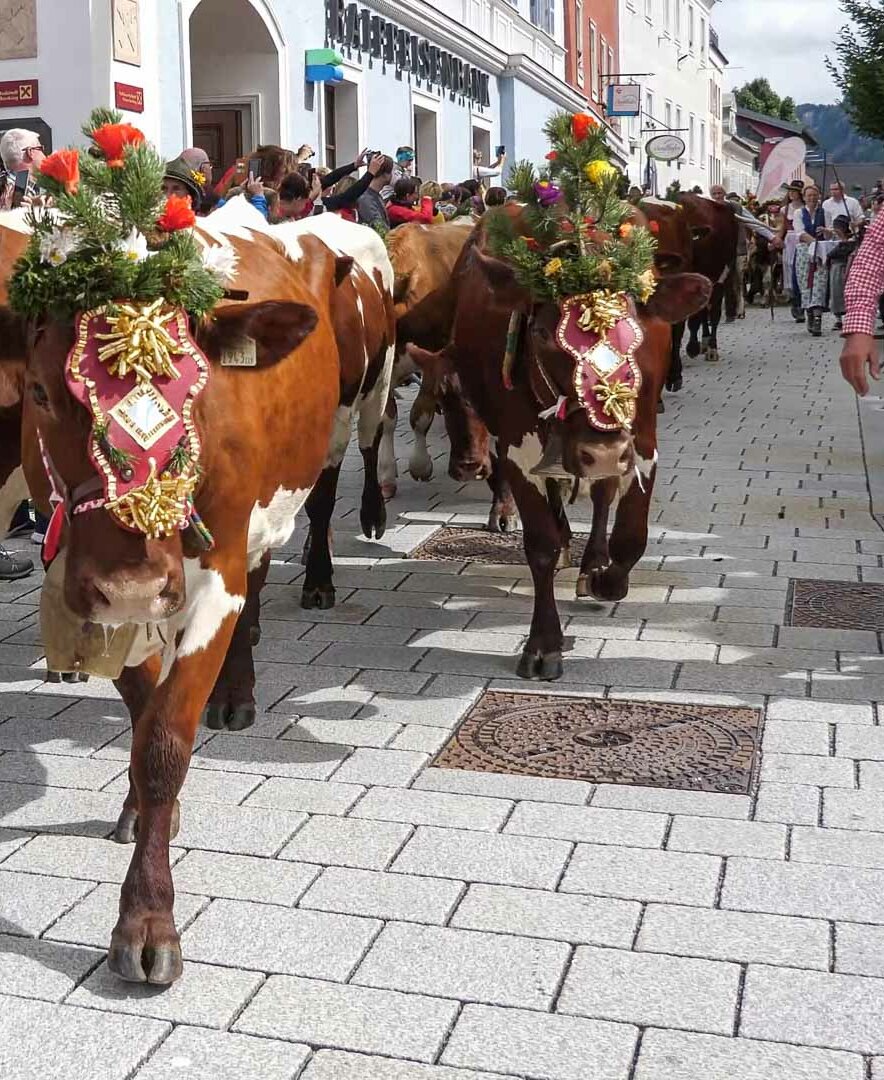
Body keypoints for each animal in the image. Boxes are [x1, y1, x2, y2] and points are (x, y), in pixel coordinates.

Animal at [0, 206, 349, 984]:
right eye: (38, 393)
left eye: (196, 390)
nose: (131, 582)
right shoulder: (93, 591)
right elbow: (142, 706)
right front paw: (140, 813)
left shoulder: (216, 573)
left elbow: (165, 739)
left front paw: (148, 920)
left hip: (266, 524)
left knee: (257, 597)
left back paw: (238, 697)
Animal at [414, 212, 712, 673]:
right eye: (540, 333)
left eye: (637, 331)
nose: (601, 451)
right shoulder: (518, 448)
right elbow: (541, 544)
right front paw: (543, 643)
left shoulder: (641, 442)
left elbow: (631, 535)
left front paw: (605, 578)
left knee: (603, 497)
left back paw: (592, 560)